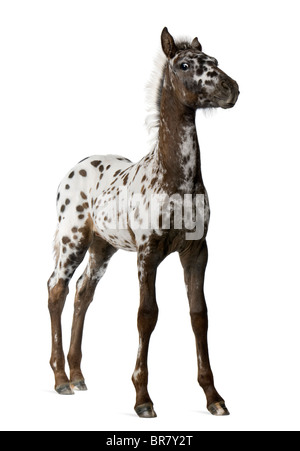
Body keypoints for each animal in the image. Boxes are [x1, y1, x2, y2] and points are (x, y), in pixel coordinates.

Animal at [47, 26, 239, 418]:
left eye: (214, 60)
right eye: (184, 65)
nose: (233, 89)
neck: (175, 180)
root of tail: (74, 168)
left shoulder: (196, 251)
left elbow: (199, 315)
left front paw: (214, 397)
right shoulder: (147, 253)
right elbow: (146, 315)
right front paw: (143, 400)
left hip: (102, 248)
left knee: (83, 292)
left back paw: (78, 376)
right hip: (72, 240)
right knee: (56, 289)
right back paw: (60, 379)